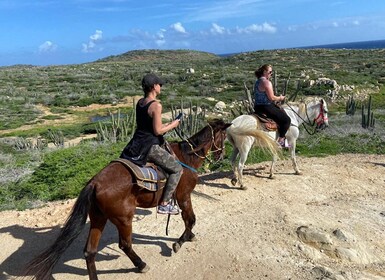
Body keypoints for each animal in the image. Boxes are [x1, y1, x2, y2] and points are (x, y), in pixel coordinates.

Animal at [22, 119, 231, 278]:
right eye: (224, 137)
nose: (221, 155)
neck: (187, 157)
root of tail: (94, 183)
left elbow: (190, 220)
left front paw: (188, 237)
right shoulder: (184, 196)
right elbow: (191, 219)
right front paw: (180, 242)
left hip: (98, 218)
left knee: (90, 251)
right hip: (124, 219)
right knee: (124, 244)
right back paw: (141, 264)